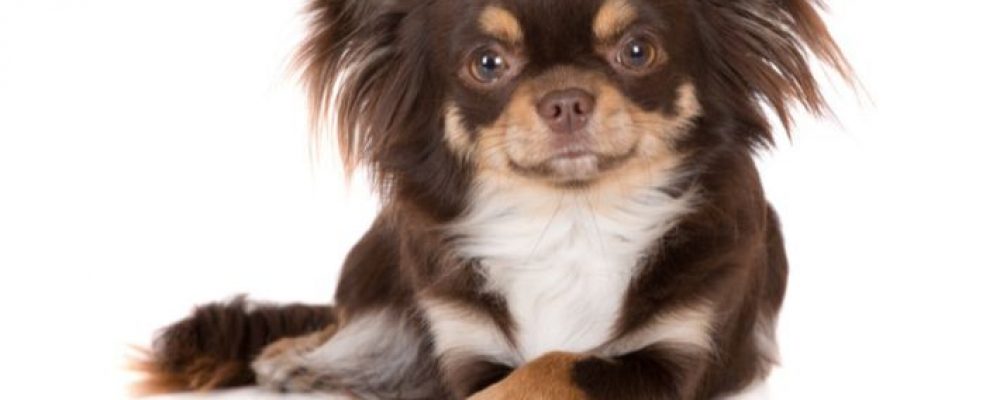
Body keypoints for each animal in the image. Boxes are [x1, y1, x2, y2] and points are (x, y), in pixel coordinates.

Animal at [134, 0, 851, 398]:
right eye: (487, 64)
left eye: (638, 51)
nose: (566, 99)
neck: (572, 220)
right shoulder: (468, 348)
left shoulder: (674, 356)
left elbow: (558, 365)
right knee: (345, 317)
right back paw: (302, 355)